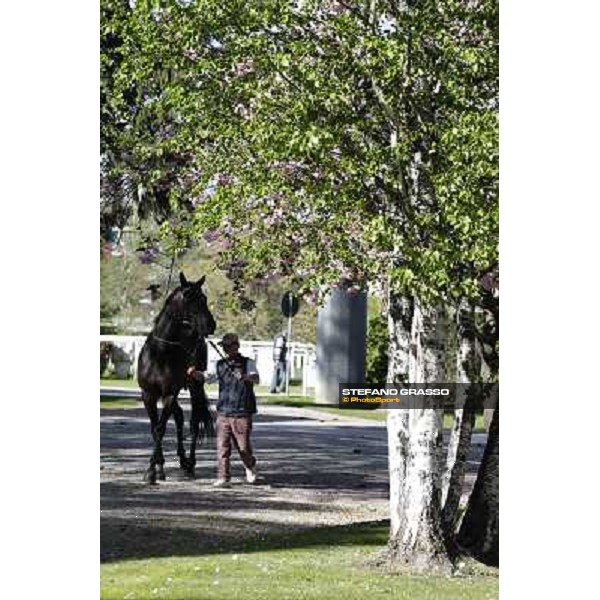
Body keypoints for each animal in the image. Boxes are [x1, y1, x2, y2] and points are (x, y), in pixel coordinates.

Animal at [137, 272, 217, 482]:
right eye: (188, 297)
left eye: (204, 298)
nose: (211, 325)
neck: (160, 352)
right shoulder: (148, 394)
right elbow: (154, 428)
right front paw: (158, 467)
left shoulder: (169, 394)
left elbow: (161, 428)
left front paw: (151, 470)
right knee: (180, 416)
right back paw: (181, 459)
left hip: (195, 385)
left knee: (194, 421)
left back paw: (190, 463)